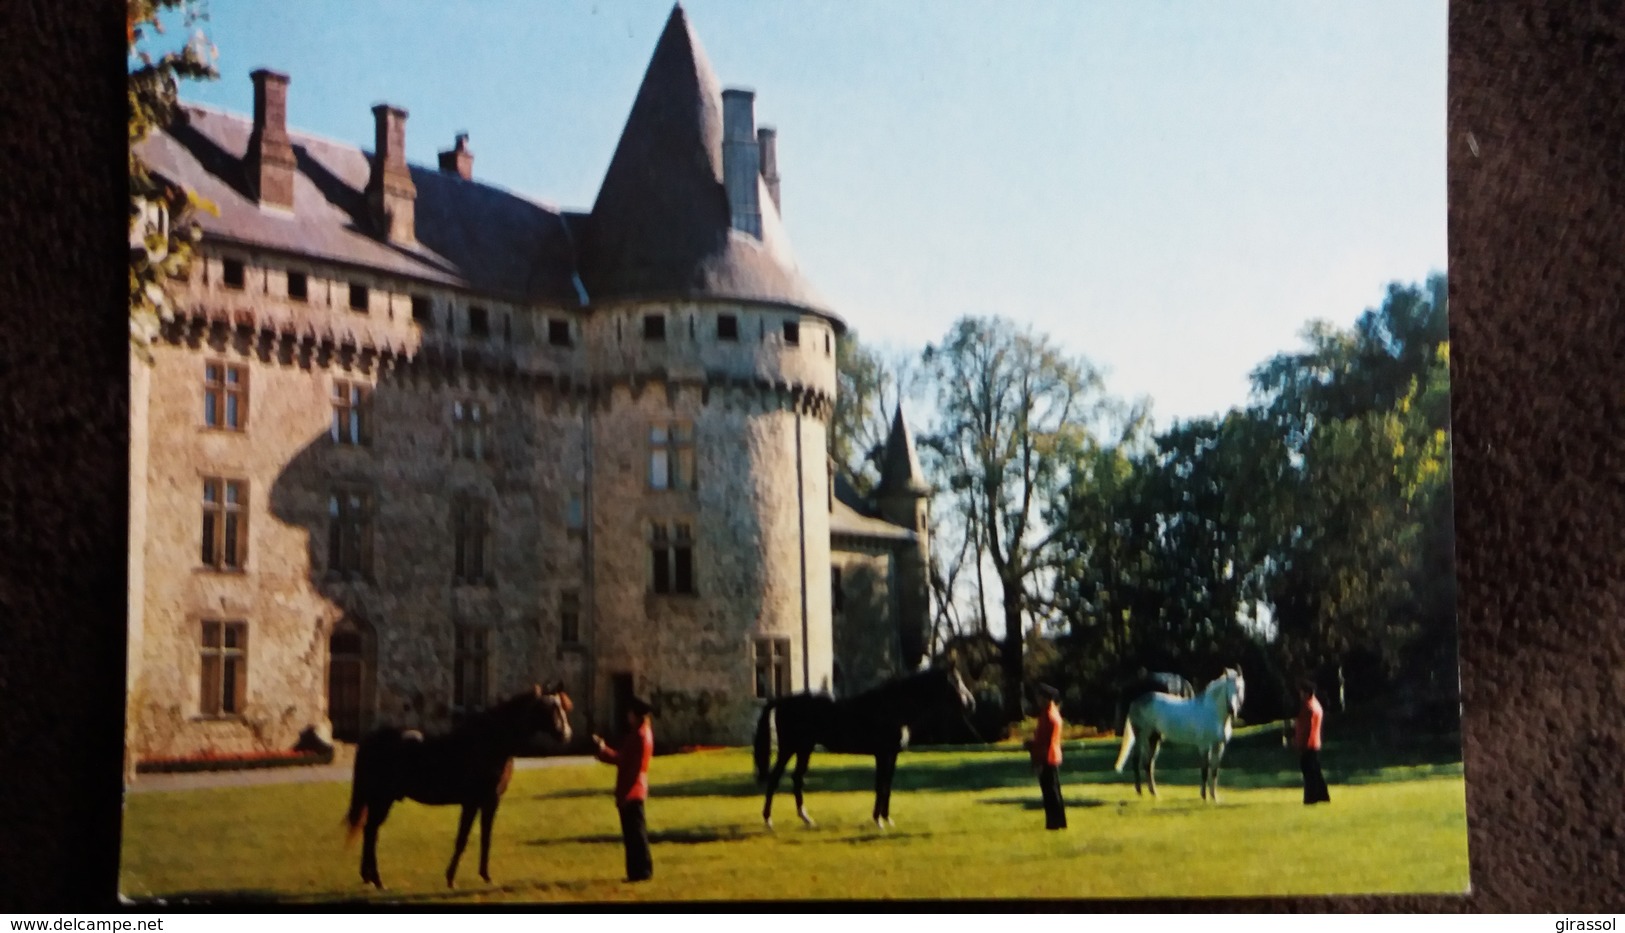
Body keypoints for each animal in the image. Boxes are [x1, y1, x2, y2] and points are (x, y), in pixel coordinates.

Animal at [341, 689, 572, 890]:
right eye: (550, 708)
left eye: (561, 706)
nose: (566, 734)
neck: (489, 744)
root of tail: (371, 740)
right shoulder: (476, 802)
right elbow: (463, 839)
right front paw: (452, 879)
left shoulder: (486, 802)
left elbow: (483, 838)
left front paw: (484, 876)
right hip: (382, 799)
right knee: (371, 831)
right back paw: (378, 880)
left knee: (369, 830)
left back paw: (368, 878)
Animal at [750, 669, 968, 828]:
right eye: (956, 681)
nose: (970, 703)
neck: (893, 708)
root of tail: (782, 701)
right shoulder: (883, 754)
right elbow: (881, 787)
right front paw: (879, 821)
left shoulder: (891, 755)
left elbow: (887, 786)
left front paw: (886, 819)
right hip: (790, 748)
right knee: (775, 779)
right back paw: (768, 820)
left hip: (804, 748)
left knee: (797, 778)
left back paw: (806, 819)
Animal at [1118, 672, 1241, 806]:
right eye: (1227, 689)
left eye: (1239, 689)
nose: (1232, 710)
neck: (1212, 712)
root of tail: (1135, 702)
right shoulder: (1204, 745)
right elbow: (1204, 770)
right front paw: (1204, 797)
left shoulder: (1218, 745)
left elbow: (1214, 771)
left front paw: (1214, 797)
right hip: (1142, 737)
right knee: (1137, 761)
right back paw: (1140, 792)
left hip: (1154, 740)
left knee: (1148, 764)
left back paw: (1154, 793)